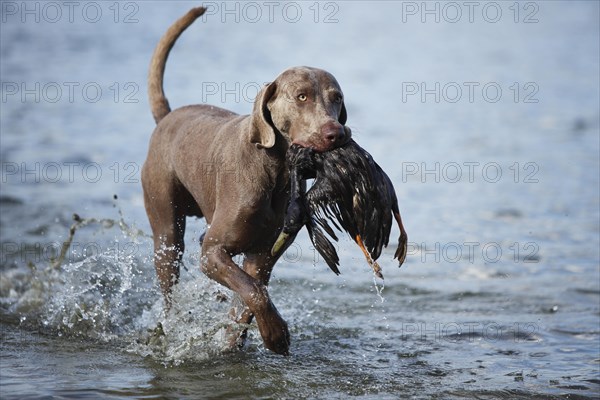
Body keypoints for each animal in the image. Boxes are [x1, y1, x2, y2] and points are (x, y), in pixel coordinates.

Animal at [141, 7, 352, 354]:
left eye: (337, 98)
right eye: (301, 96)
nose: (336, 133)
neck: (275, 172)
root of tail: (167, 117)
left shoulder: (262, 255)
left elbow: (249, 296)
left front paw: (243, 338)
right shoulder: (211, 253)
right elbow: (252, 290)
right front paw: (277, 335)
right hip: (167, 232)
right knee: (168, 281)